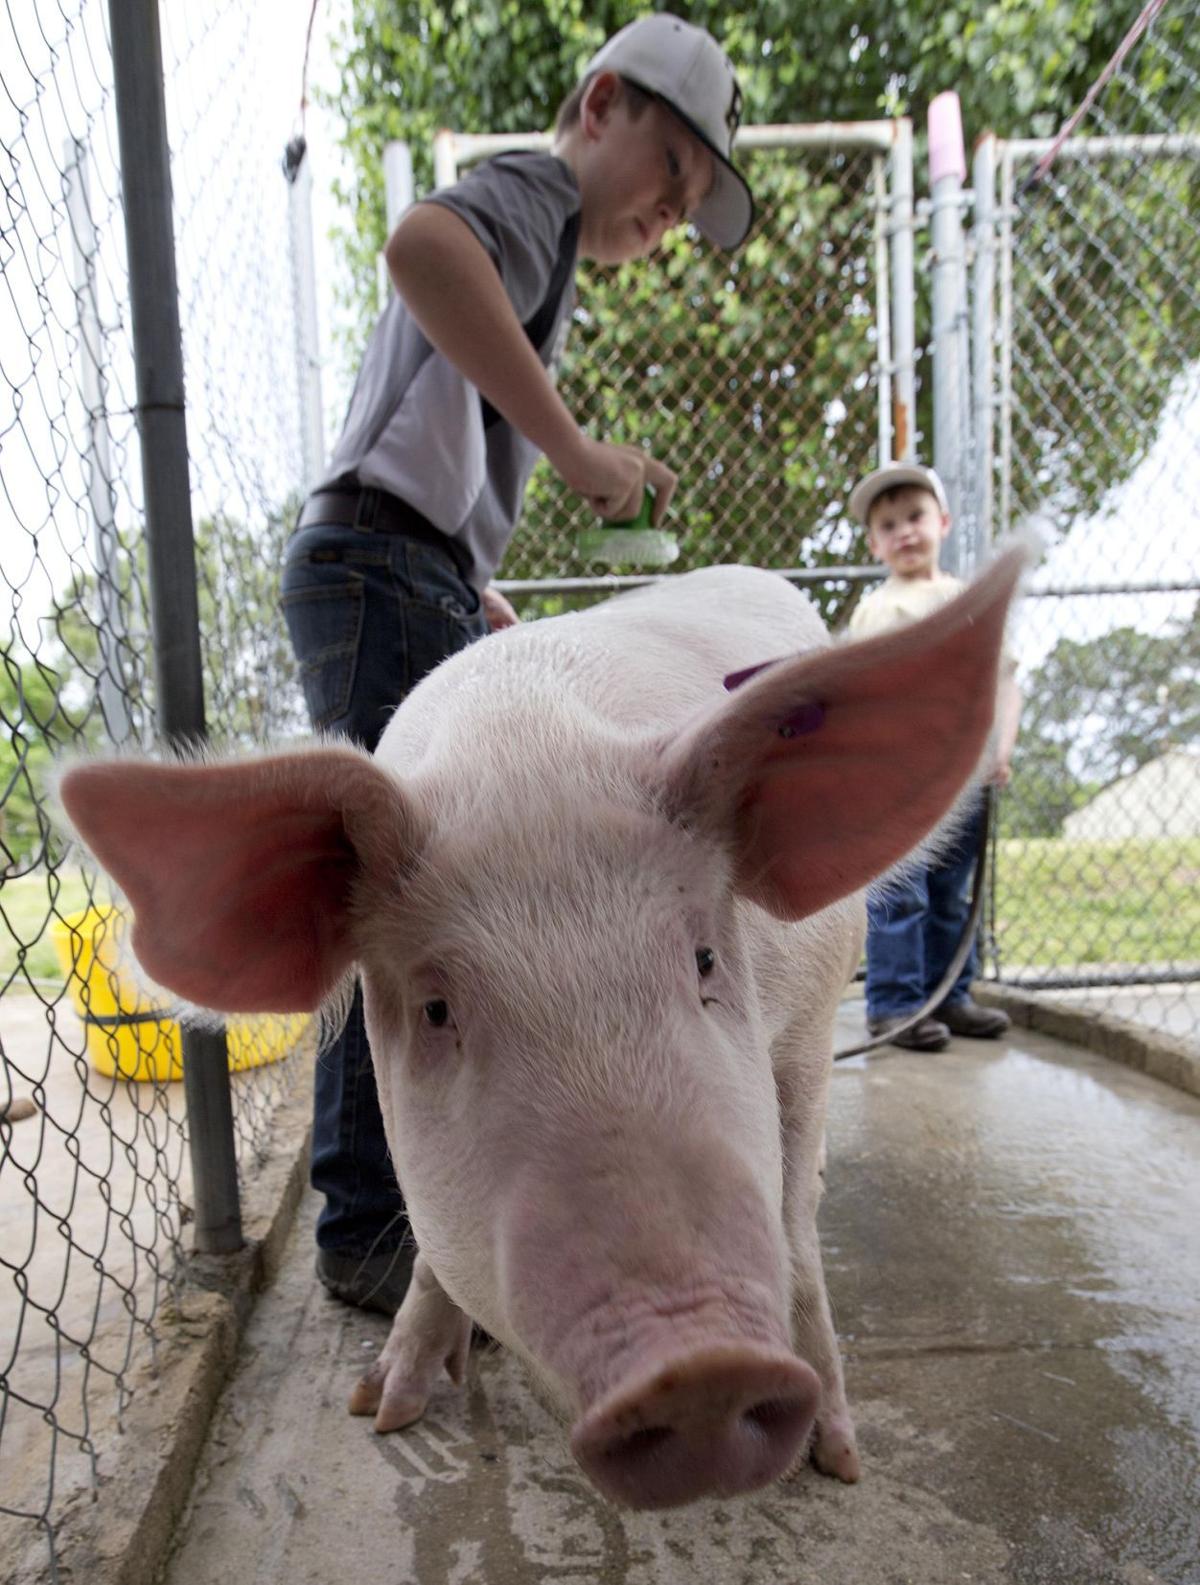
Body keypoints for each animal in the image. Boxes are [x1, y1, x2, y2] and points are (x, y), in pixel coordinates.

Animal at [59, 549, 1023, 1511]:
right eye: (437, 1009)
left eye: (706, 959)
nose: (701, 1365)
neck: (524, 744)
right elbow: (429, 1249)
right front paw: (382, 1410)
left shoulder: (804, 1027)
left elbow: (793, 1224)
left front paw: (841, 1464)